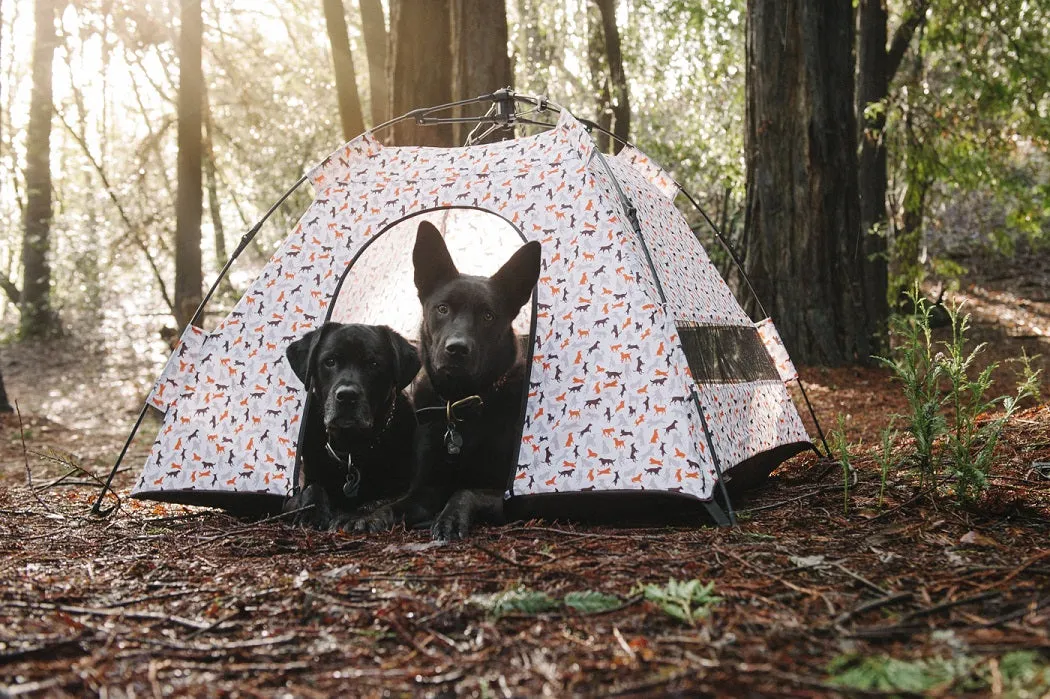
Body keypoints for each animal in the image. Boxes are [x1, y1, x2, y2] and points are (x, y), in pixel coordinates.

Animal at [356, 220, 546, 535]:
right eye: (442, 309)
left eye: (488, 316)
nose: (457, 348)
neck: (460, 404)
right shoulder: (425, 489)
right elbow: (395, 506)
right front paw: (372, 516)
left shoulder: (506, 494)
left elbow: (464, 491)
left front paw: (449, 518)